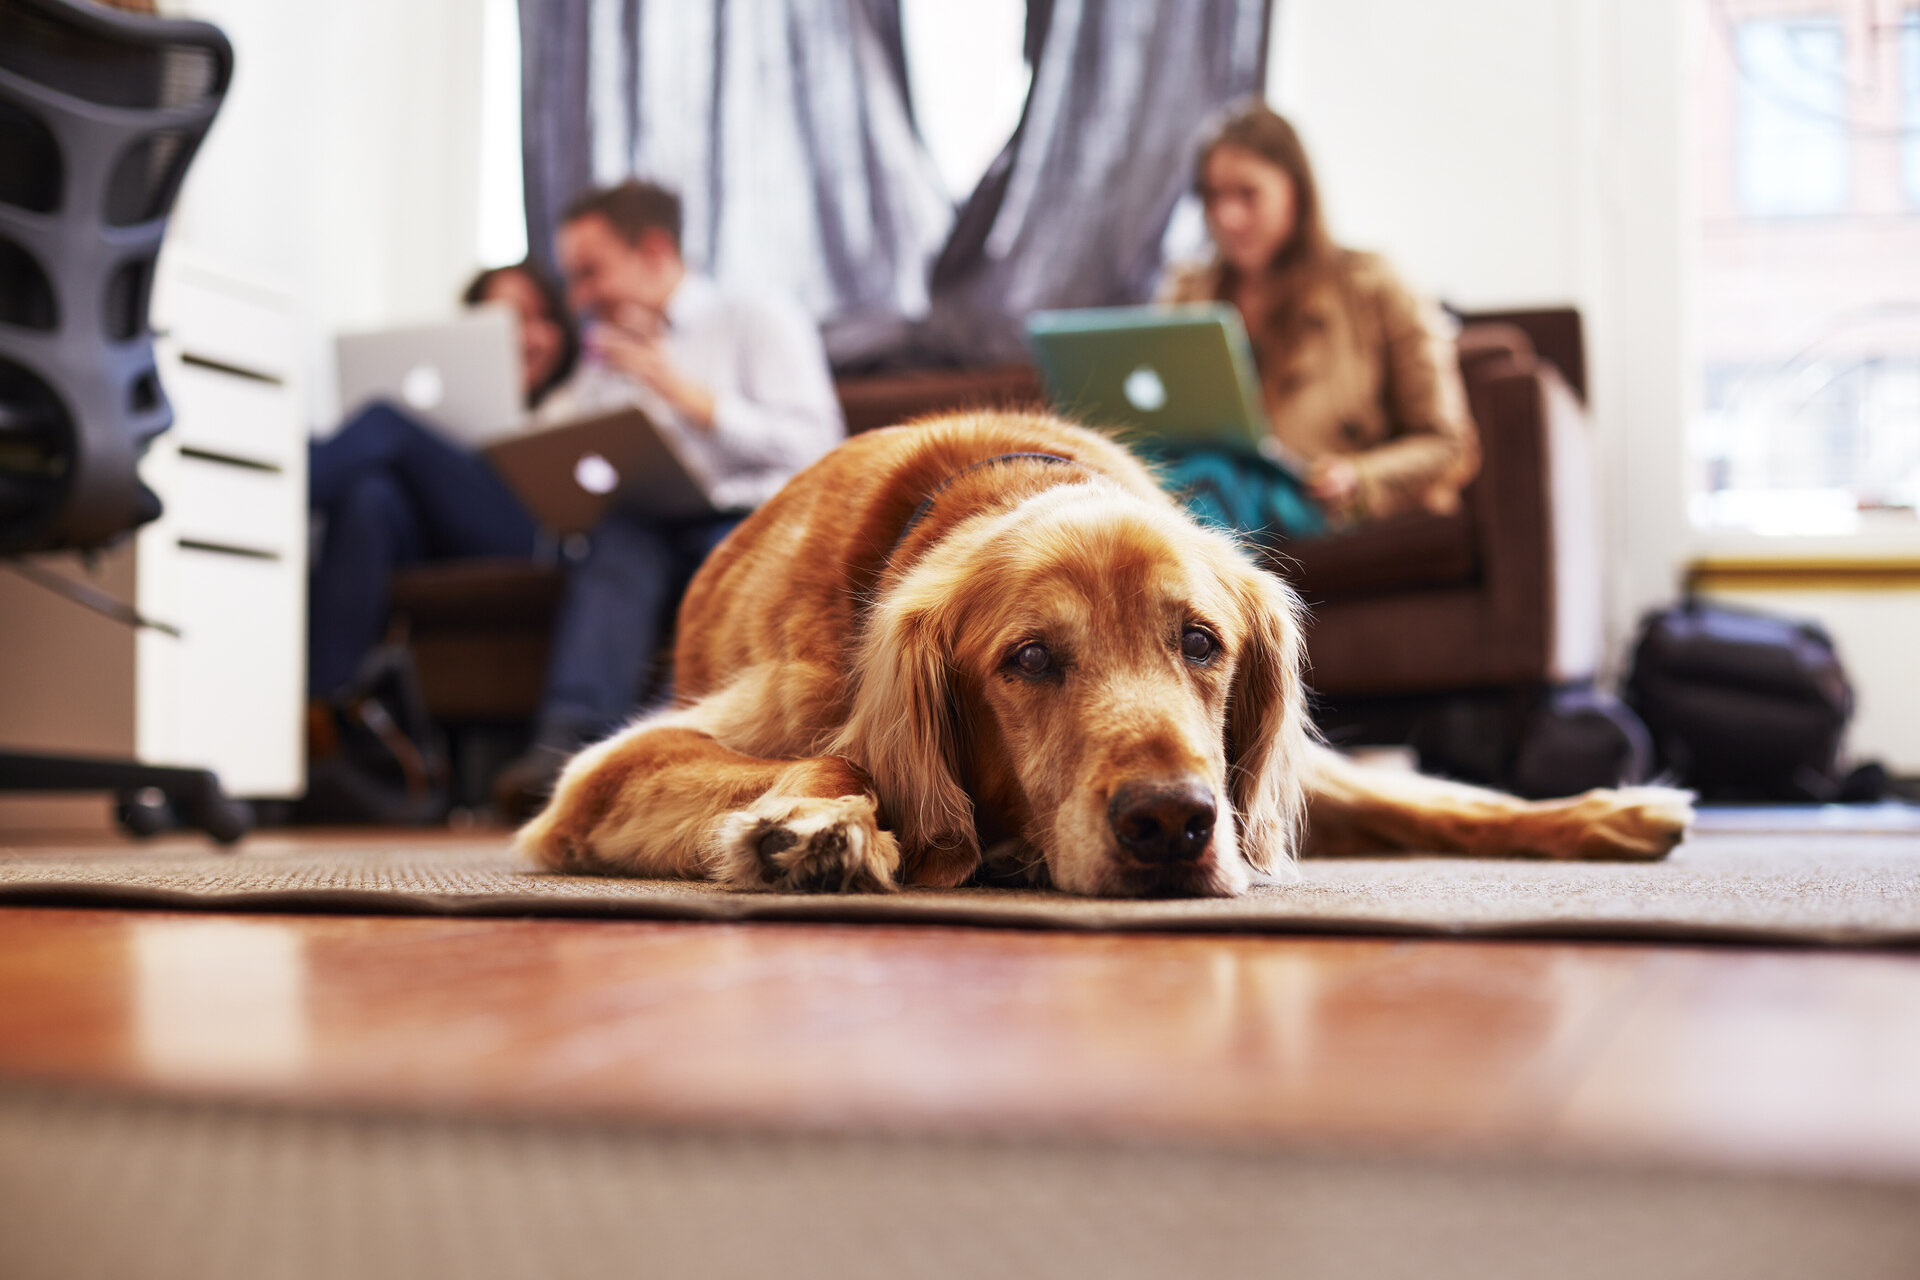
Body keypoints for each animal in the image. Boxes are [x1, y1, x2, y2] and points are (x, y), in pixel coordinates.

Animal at [518, 416, 1689, 898]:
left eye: (1201, 641)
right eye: (1031, 658)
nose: (1171, 823)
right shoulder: (601, 778)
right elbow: (846, 753)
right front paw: (815, 824)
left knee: (1421, 795)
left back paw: (1610, 810)